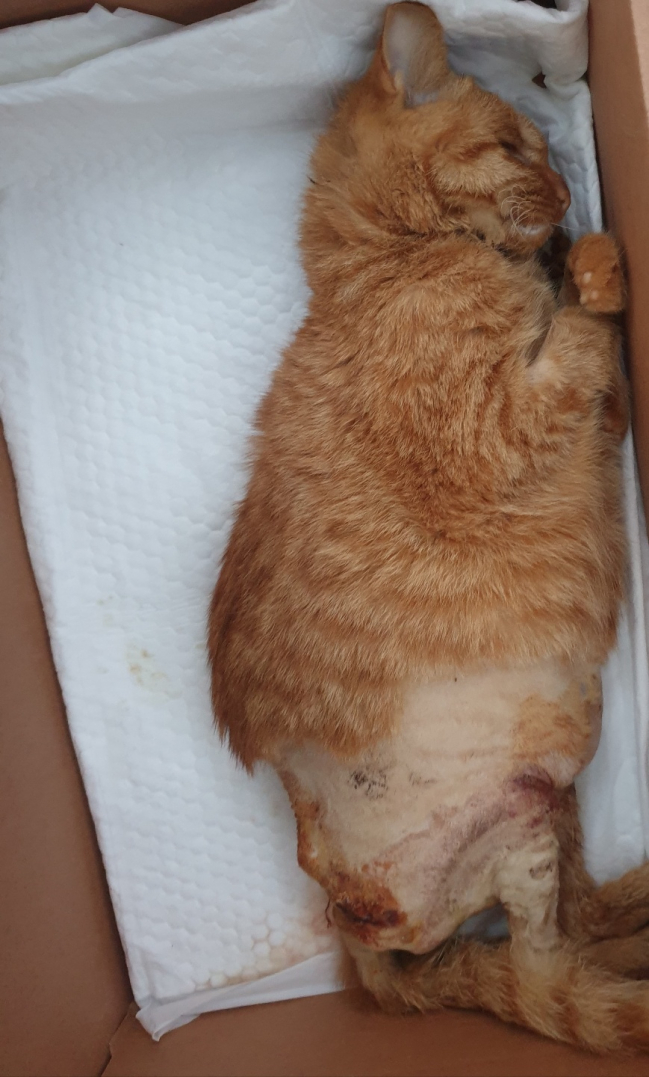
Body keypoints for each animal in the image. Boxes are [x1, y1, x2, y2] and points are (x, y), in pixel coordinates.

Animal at [209, 0, 649, 1053]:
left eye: (547, 147)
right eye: (510, 145)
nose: (566, 186)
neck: (384, 263)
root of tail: (347, 927)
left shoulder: (591, 423)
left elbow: (589, 350)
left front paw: (568, 257)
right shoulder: (505, 423)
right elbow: (583, 331)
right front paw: (593, 258)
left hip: (543, 812)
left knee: (571, 933)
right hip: (526, 843)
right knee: (545, 968)